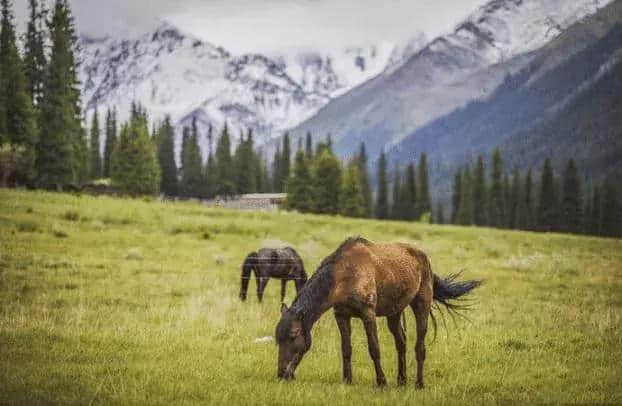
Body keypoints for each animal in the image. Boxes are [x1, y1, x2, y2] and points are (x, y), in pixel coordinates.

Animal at [274, 238, 482, 386]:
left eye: (293, 335)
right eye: (278, 339)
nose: (282, 373)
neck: (343, 277)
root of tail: (424, 258)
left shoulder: (368, 314)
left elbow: (374, 348)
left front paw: (381, 381)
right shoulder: (341, 315)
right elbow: (346, 349)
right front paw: (347, 380)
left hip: (421, 304)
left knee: (419, 346)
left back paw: (418, 383)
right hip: (394, 313)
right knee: (401, 342)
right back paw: (401, 380)